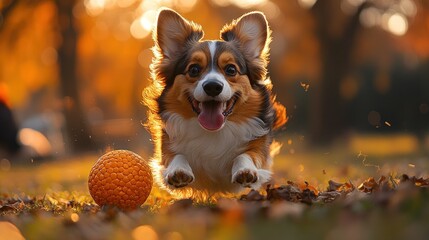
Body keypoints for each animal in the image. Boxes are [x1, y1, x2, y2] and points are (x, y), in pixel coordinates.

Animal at [144, 7, 288, 199]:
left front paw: (245, 170)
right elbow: (175, 156)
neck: (213, 132)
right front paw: (178, 171)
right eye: (194, 69)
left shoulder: (259, 148)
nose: (213, 87)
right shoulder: (166, 145)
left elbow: (247, 155)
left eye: (231, 69)